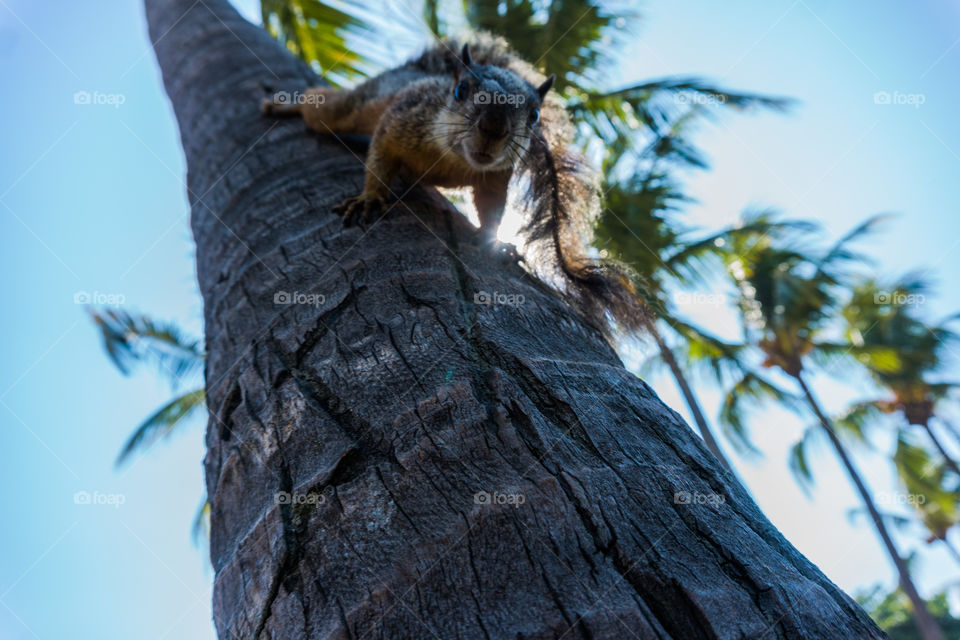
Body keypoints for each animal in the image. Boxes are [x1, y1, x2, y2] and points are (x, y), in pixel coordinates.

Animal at [260, 34, 644, 338]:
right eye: (461, 91)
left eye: (534, 116)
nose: (493, 127)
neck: (457, 159)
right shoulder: (400, 121)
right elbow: (380, 157)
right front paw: (370, 197)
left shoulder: (496, 178)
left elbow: (492, 208)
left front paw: (495, 241)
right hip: (356, 106)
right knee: (327, 107)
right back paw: (286, 105)